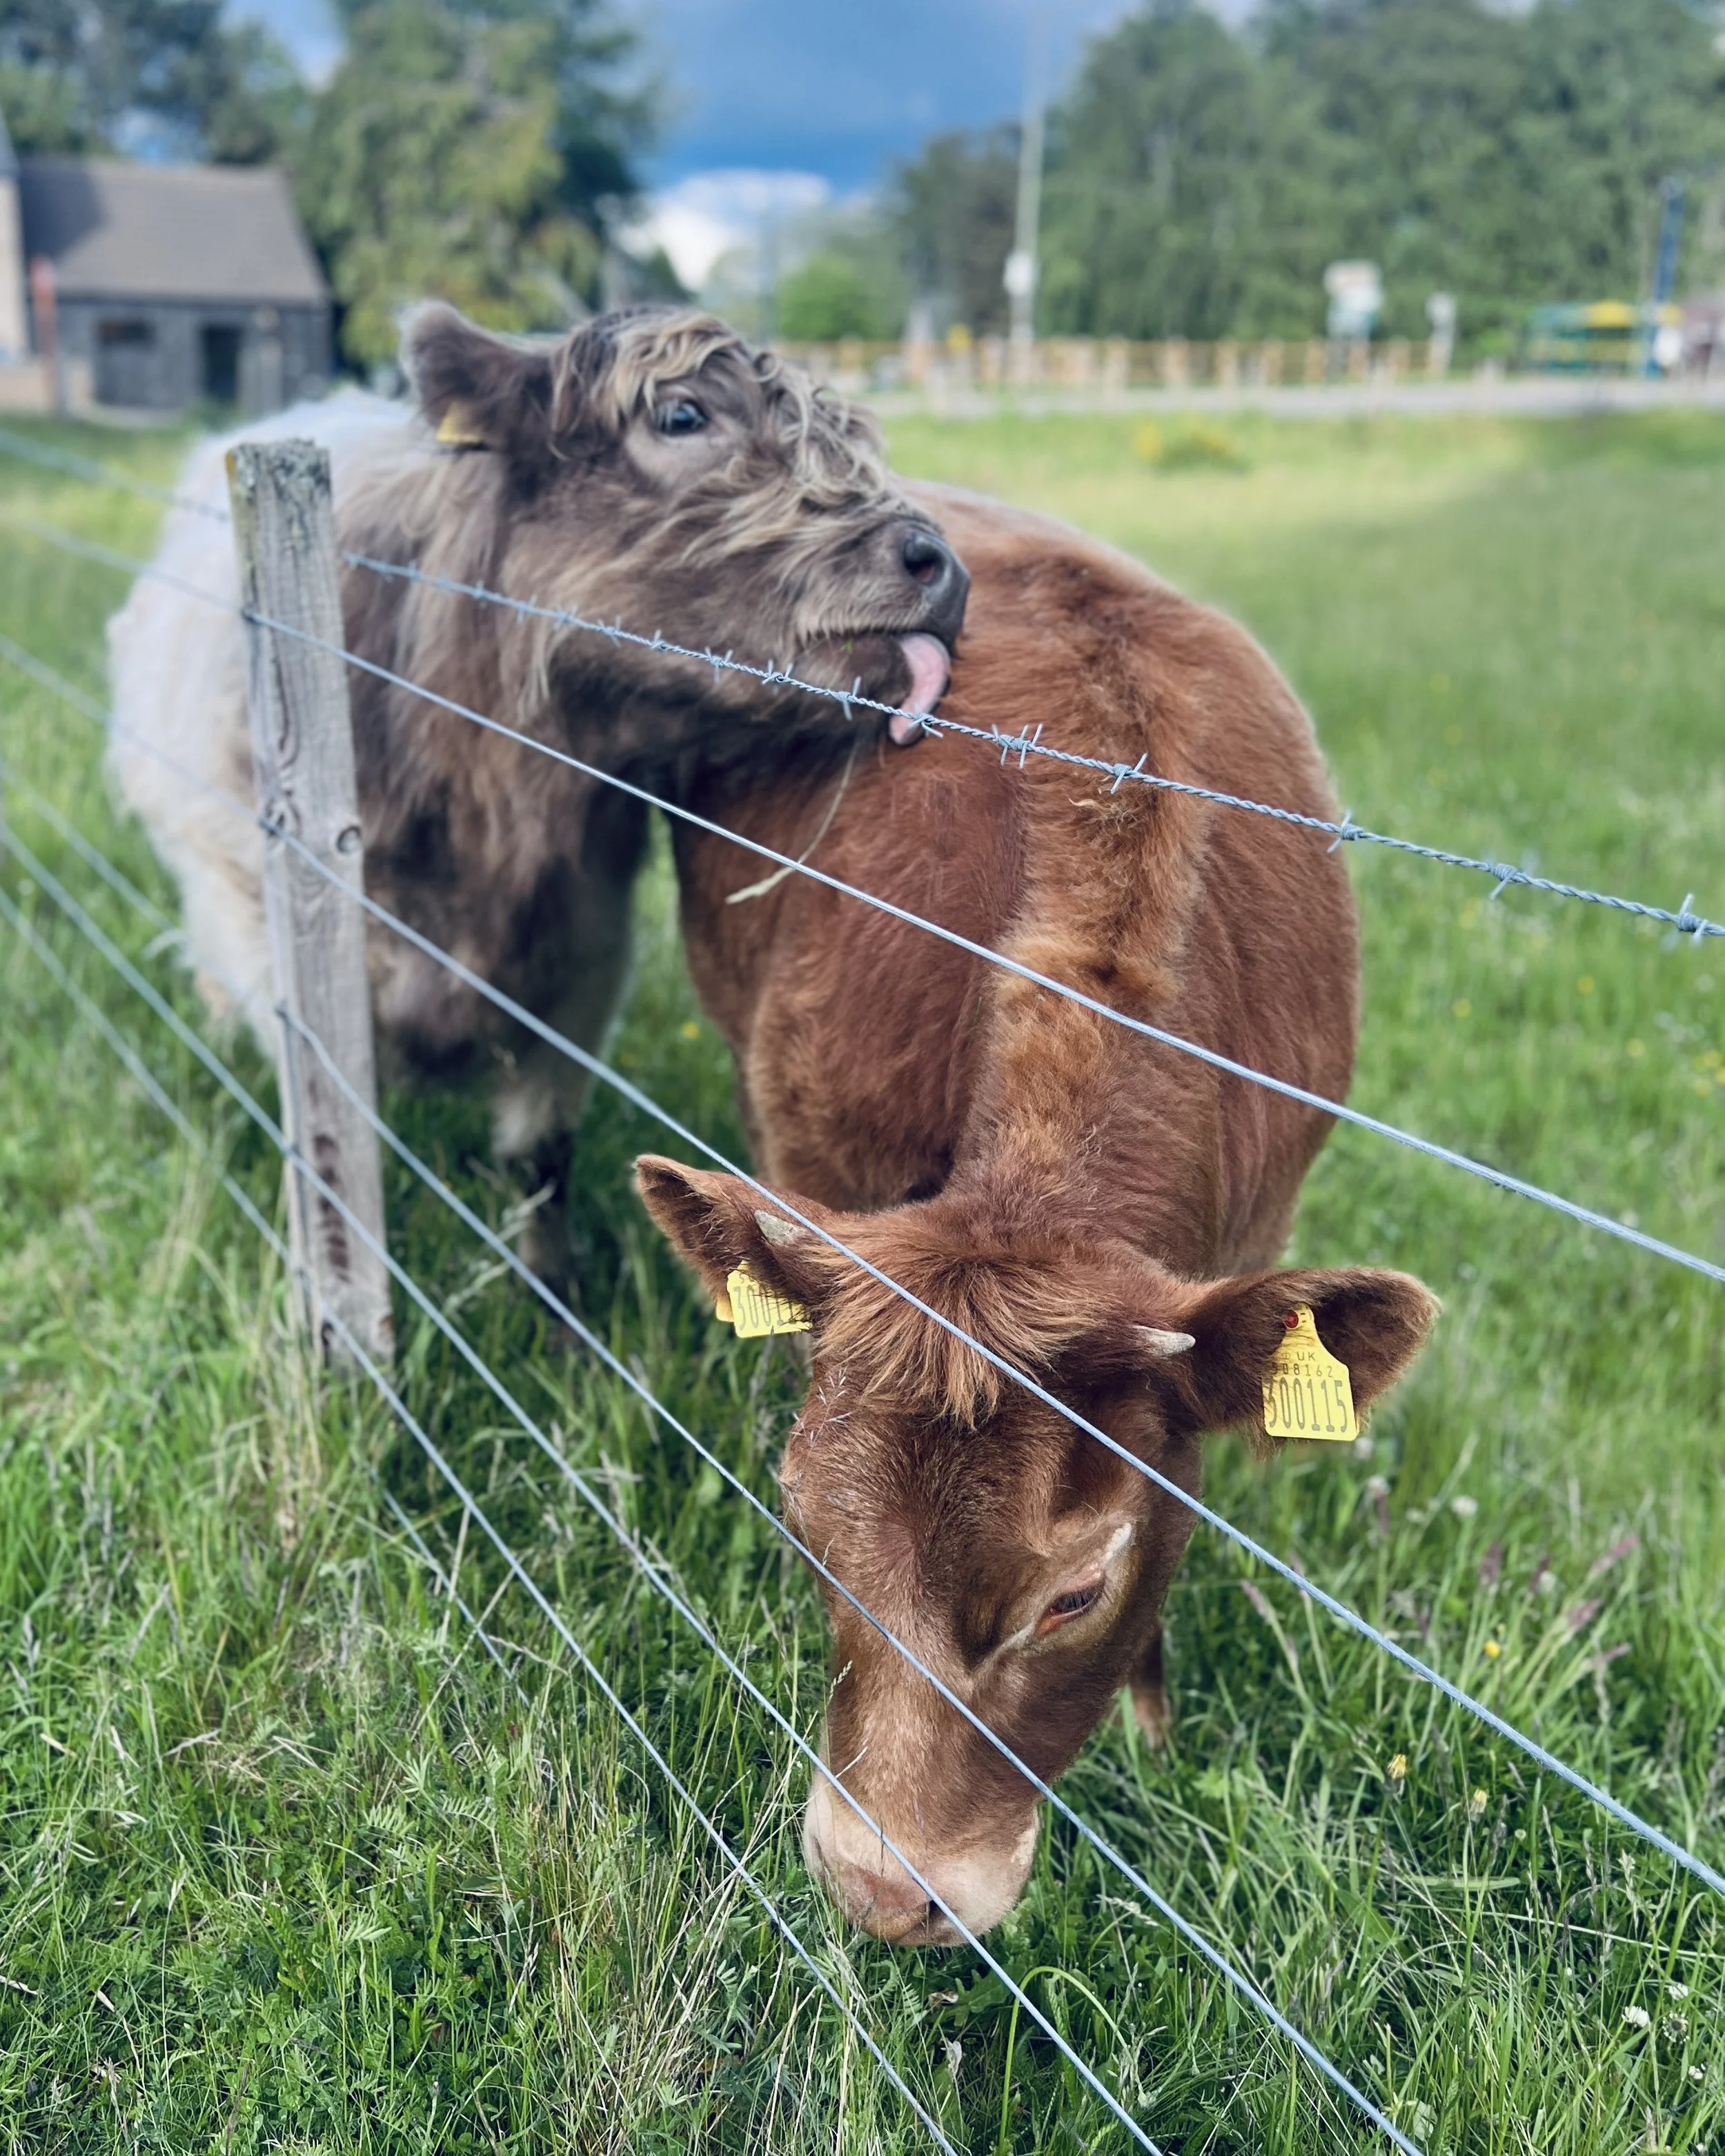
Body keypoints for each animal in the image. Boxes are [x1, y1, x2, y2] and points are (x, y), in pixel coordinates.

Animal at [107, 303, 967, 1277]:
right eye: (682, 416)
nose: (938, 562)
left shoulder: (580, 962)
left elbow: (540, 1155)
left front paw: (551, 1291)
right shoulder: (272, 936)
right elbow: (332, 1146)